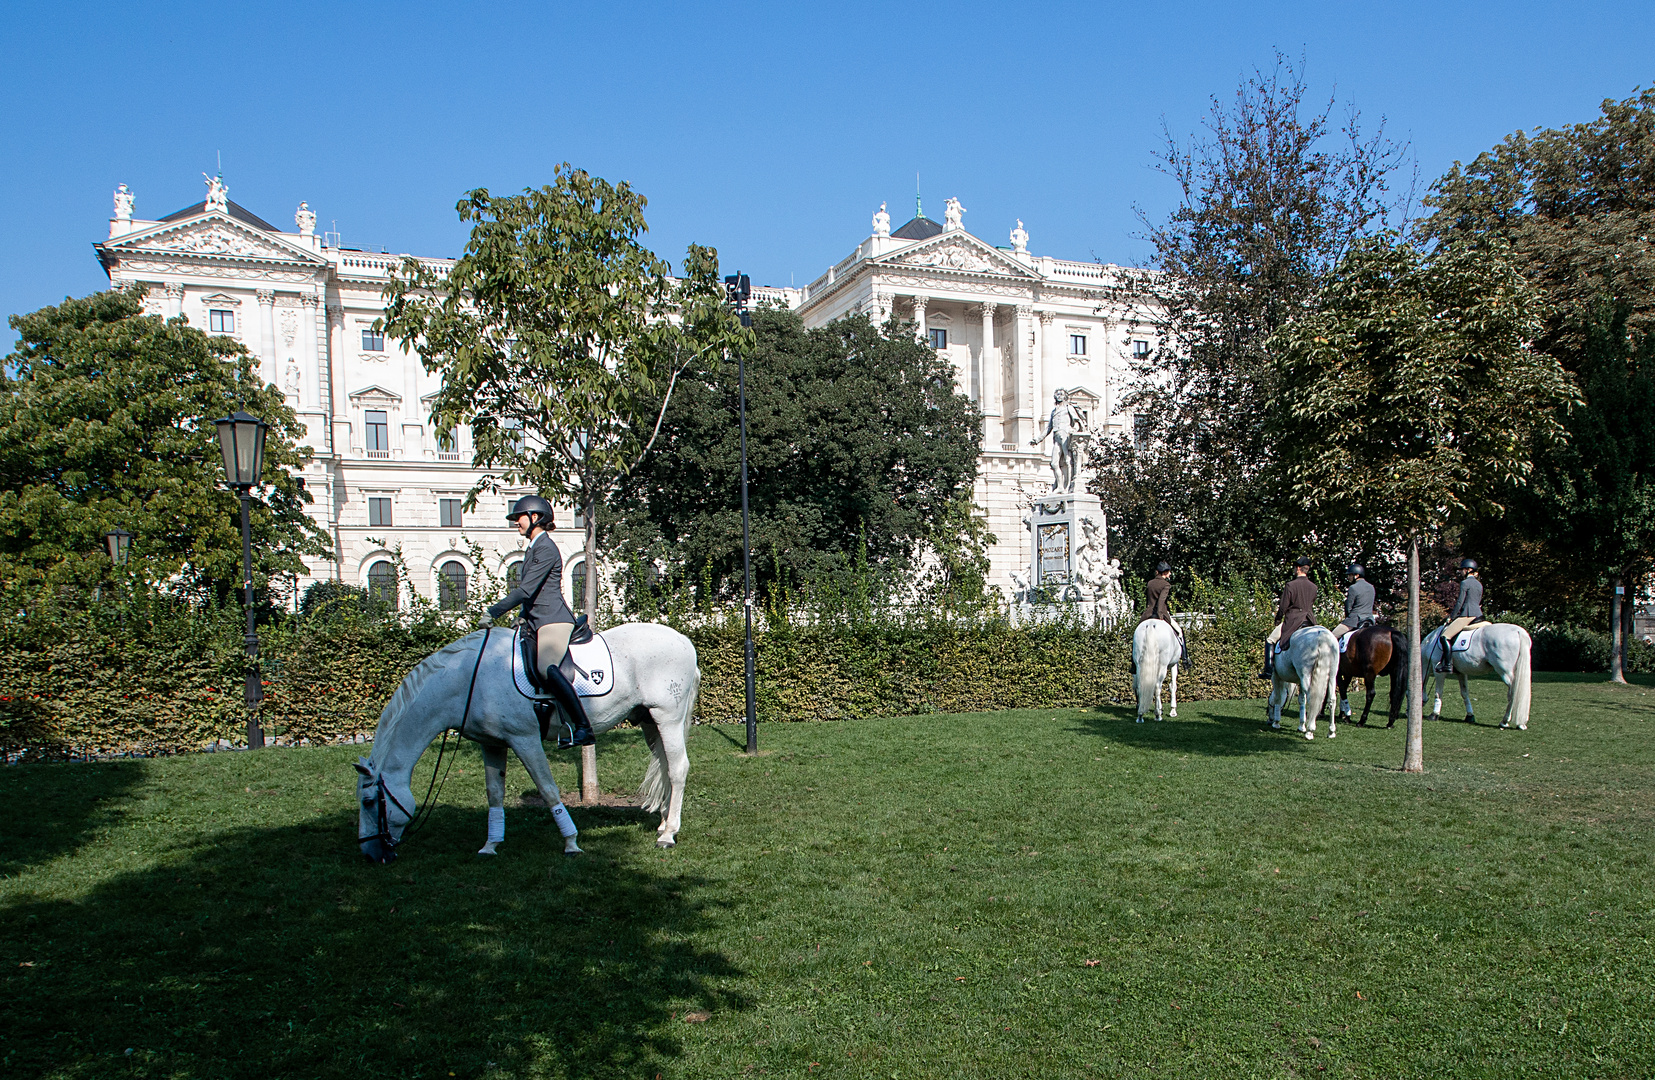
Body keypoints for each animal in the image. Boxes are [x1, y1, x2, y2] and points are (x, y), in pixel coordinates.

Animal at [355, 621, 698, 860]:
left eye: (369, 801)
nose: (369, 854)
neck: (469, 679)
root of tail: (683, 640)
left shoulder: (524, 739)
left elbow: (547, 789)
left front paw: (571, 842)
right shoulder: (491, 743)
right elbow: (494, 793)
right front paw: (490, 844)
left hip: (667, 717)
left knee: (677, 769)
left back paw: (668, 835)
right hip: (650, 721)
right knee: (665, 767)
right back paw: (664, 823)